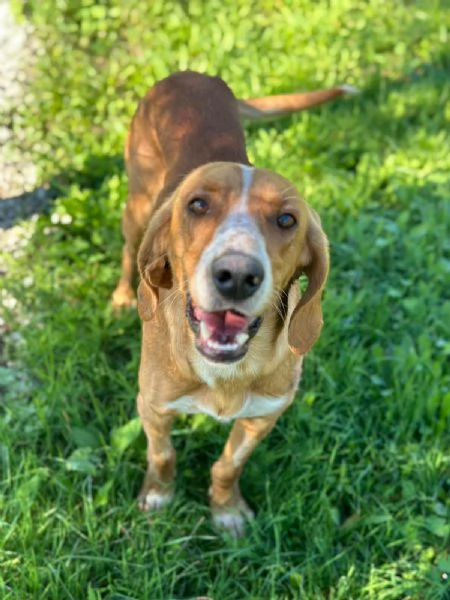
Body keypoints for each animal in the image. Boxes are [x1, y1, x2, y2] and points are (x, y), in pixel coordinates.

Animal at [111, 72, 352, 536]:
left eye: (287, 220)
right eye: (197, 205)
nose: (238, 275)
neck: (225, 373)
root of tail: (193, 74)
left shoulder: (262, 417)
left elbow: (227, 466)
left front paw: (226, 510)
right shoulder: (152, 406)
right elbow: (162, 454)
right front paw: (159, 495)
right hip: (136, 208)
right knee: (128, 254)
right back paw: (120, 299)